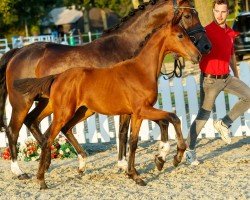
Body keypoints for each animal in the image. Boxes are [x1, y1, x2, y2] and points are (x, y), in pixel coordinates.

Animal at [1, 0, 211, 179]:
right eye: (188, 15)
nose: (205, 46)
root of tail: (17, 52)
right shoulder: (127, 106)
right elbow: (123, 133)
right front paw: (125, 165)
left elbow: (144, 128)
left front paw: (152, 159)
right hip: (22, 103)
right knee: (14, 129)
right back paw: (19, 170)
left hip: (52, 104)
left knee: (35, 122)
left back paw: (53, 161)